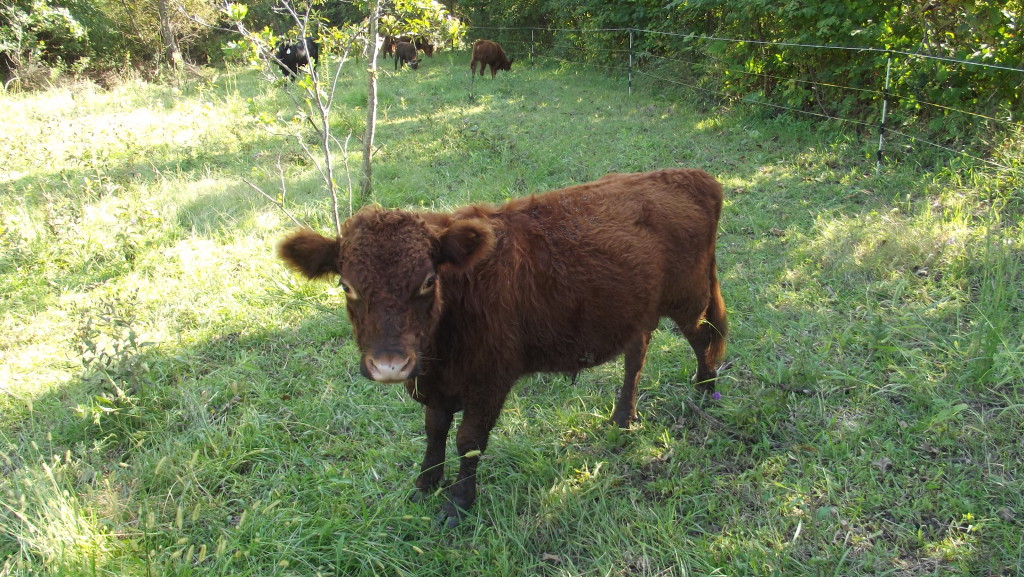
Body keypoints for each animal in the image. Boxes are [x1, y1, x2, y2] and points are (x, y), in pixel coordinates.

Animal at [278, 168, 729, 528]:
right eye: (346, 286)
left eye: (427, 280)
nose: (390, 364)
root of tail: (691, 175)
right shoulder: (438, 384)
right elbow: (434, 430)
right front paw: (426, 483)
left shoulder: (489, 381)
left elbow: (468, 440)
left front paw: (458, 503)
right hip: (636, 311)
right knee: (637, 355)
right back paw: (624, 417)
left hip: (688, 297)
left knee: (704, 336)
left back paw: (706, 389)